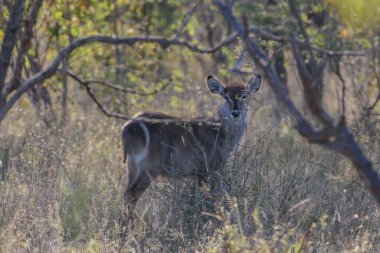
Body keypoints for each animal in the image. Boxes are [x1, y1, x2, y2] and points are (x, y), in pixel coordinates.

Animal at [121, 74, 262, 216]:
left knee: (127, 193)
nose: (236, 113)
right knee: (132, 194)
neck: (221, 132)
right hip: (149, 167)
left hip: (133, 167)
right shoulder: (211, 168)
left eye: (244, 96)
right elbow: (214, 197)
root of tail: (129, 127)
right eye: (226, 97)